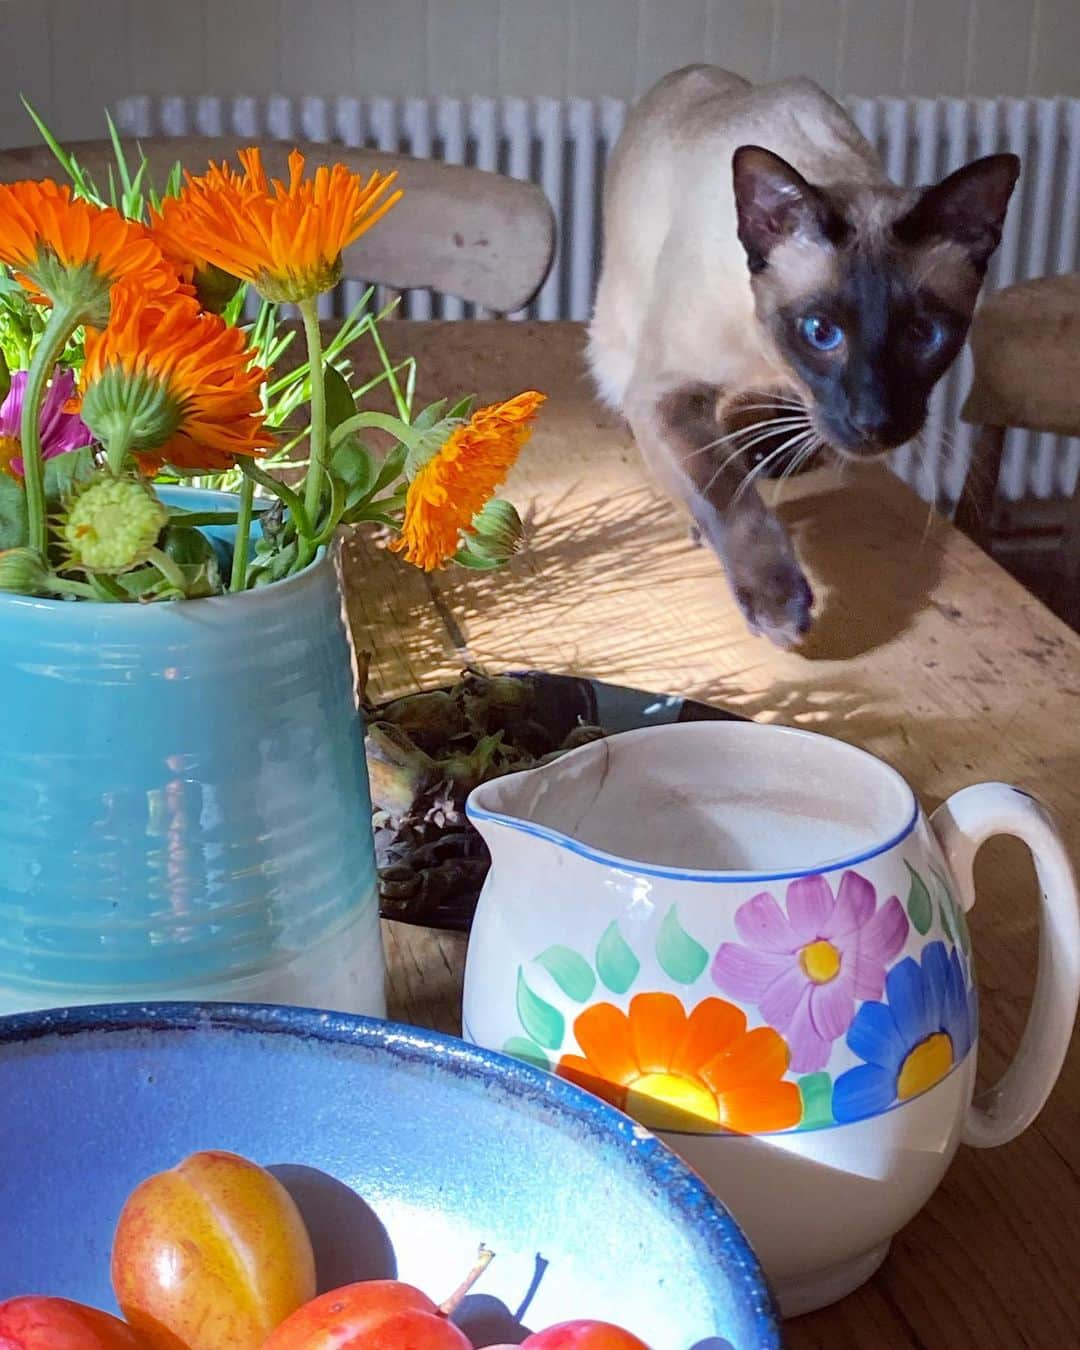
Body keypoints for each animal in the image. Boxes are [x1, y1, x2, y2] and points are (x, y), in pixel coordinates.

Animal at [591, 65, 1020, 645]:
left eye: (922, 334)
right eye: (820, 332)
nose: (874, 421)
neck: (769, 360)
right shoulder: (665, 391)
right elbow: (726, 490)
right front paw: (779, 605)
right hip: (620, 343)